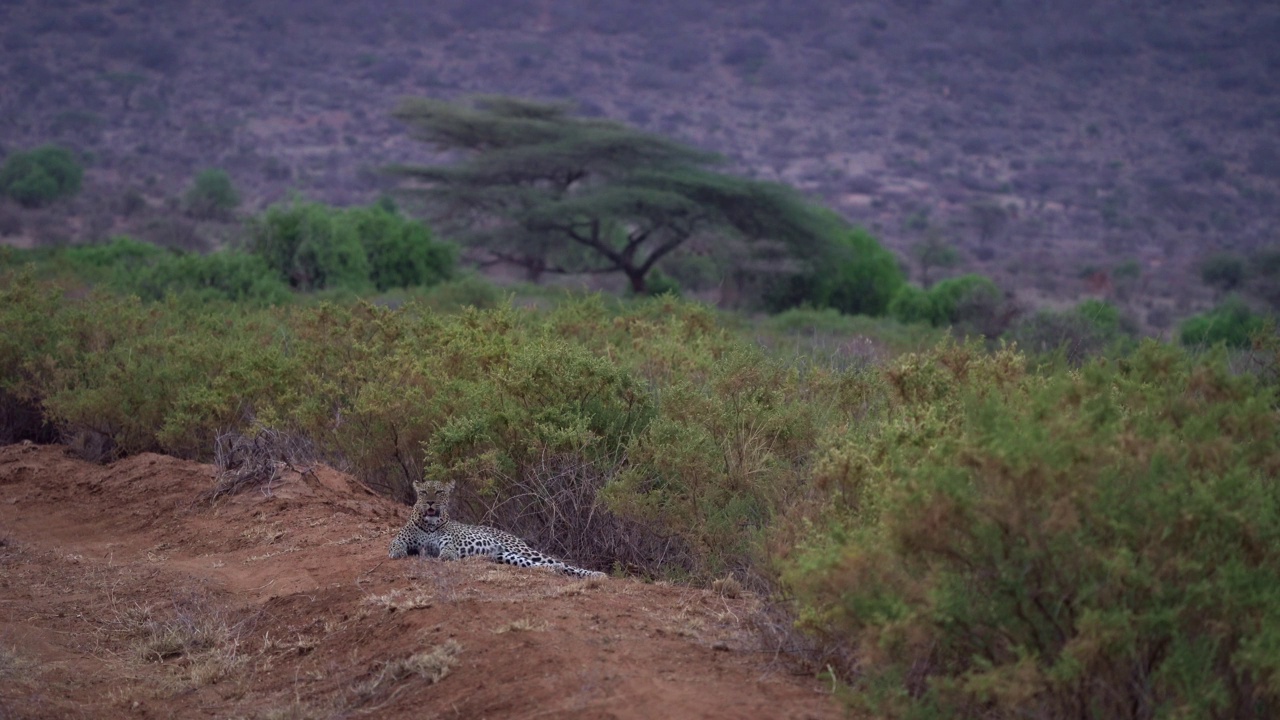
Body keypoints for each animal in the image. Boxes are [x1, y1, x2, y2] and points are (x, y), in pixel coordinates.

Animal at [384, 476, 604, 576]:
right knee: (541, 565)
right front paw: (397, 553)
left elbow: (448, 548)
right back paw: (553, 570)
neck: (430, 525)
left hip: (520, 549)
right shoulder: (402, 537)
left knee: (564, 564)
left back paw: (596, 575)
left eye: (439, 492)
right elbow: (396, 543)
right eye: (423, 493)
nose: (430, 502)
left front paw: (446, 556)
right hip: (505, 556)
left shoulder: (448, 541)